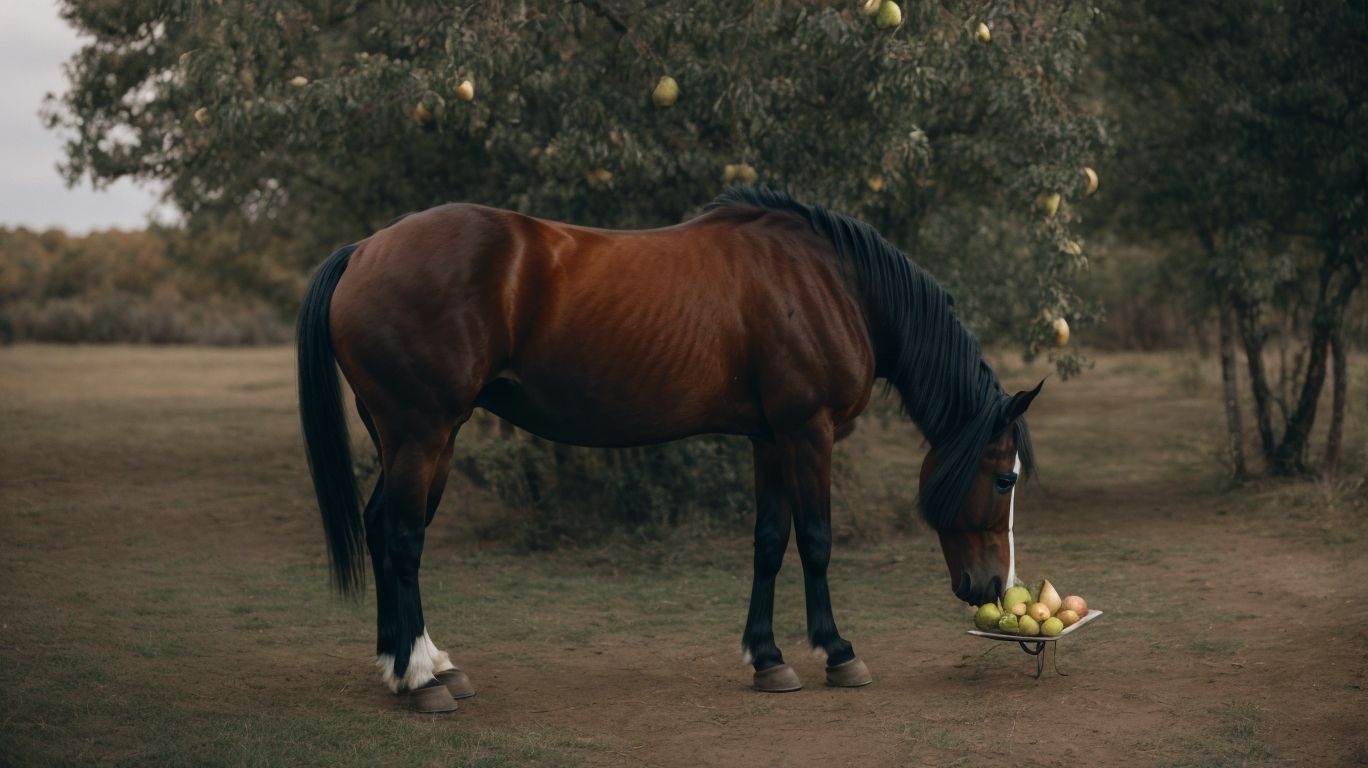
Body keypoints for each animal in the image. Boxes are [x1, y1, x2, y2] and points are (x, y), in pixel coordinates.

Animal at [297, 186, 1040, 712]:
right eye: (1004, 480)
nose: (992, 587)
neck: (830, 283)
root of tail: (364, 249)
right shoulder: (809, 431)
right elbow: (817, 540)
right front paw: (836, 651)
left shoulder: (771, 439)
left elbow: (769, 542)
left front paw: (768, 658)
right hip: (422, 433)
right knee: (402, 540)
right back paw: (420, 679)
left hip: (419, 440)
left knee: (381, 528)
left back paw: (411, 665)